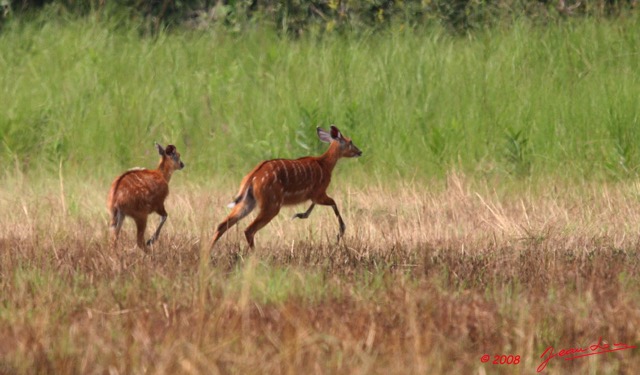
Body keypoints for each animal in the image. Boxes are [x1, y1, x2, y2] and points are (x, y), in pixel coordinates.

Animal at [210, 125, 360, 250]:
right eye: (350, 141)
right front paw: (340, 232)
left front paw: (300, 215)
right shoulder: (319, 191)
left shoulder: (315, 195)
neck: (325, 165)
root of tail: (252, 177)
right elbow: (333, 202)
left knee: (222, 224)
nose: (360, 151)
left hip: (248, 201)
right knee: (249, 229)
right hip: (272, 202)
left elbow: (315, 205)